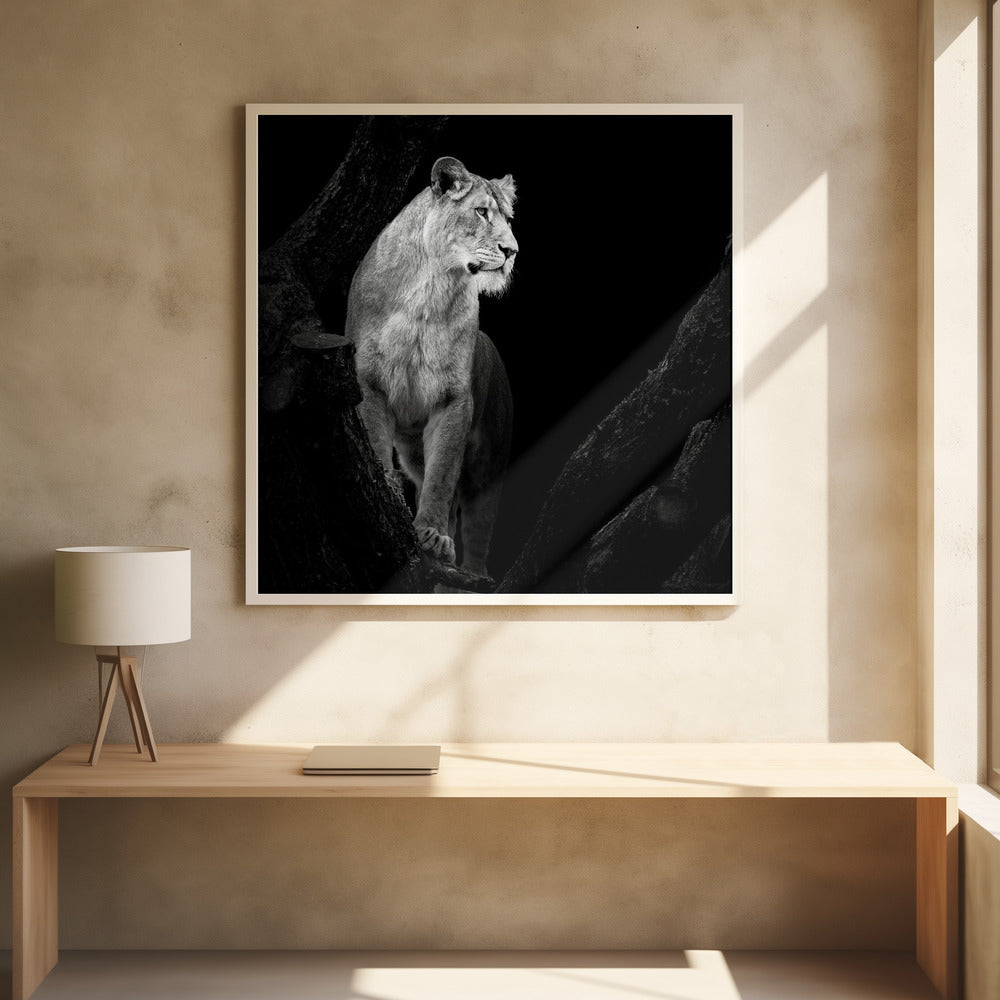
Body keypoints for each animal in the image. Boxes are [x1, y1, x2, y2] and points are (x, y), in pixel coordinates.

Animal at [345, 155, 517, 576]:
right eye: (481, 212)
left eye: (509, 218)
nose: (512, 250)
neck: (431, 287)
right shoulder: (368, 381)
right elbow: (376, 443)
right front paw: (389, 491)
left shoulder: (453, 400)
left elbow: (442, 476)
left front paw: (434, 535)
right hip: (413, 450)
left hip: (491, 464)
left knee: (477, 528)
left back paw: (471, 574)